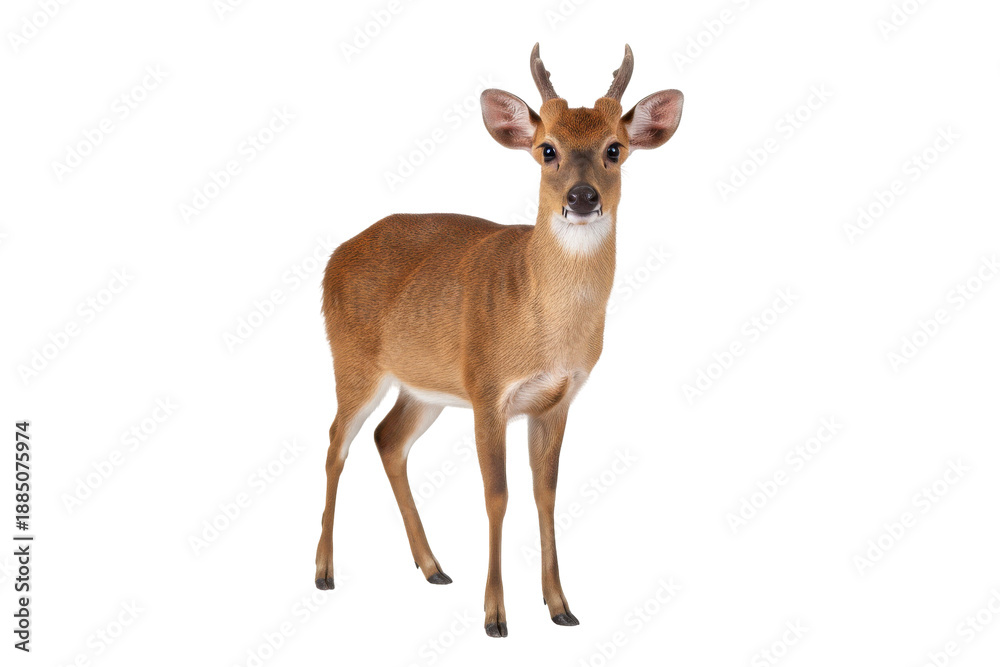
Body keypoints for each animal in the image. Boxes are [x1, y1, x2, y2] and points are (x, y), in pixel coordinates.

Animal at [314, 43, 683, 637]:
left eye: (615, 149)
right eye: (546, 149)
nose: (583, 197)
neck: (542, 324)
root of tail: (333, 258)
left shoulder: (555, 400)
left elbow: (545, 495)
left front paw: (560, 606)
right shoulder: (488, 389)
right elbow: (497, 495)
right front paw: (494, 615)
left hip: (425, 388)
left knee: (388, 440)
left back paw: (433, 567)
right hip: (352, 360)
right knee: (334, 443)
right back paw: (324, 571)